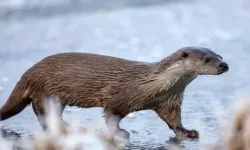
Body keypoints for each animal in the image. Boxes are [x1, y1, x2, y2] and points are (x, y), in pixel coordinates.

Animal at [0, 47, 229, 139]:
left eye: (220, 55)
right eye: (206, 59)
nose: (224, 65)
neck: (154, 86)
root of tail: (29, 72)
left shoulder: (169, 101)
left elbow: (174, 121)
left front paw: (187, 132)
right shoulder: (121, 98)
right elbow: (111, 116)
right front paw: (121, 133)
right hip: (45, 91)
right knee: (44, 114)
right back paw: (75, 129)